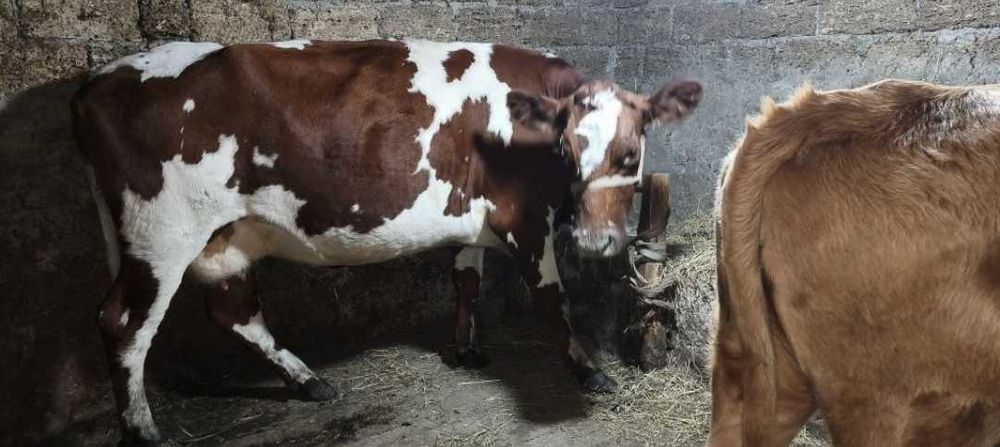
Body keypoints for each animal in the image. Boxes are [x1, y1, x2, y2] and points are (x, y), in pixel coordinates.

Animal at [71, 38, 702, 445]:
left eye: (630, 154)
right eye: (567, 152)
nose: (596, 242)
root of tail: (98, 79)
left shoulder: (472, 219)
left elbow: (466, 280)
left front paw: (466, 349)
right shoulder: (524, 218)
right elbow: (553, 298)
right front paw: (588, 368)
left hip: (224, 238)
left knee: (235, 314)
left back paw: (310, 381)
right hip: (162, 234)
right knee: (123, 324)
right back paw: (143, 430)